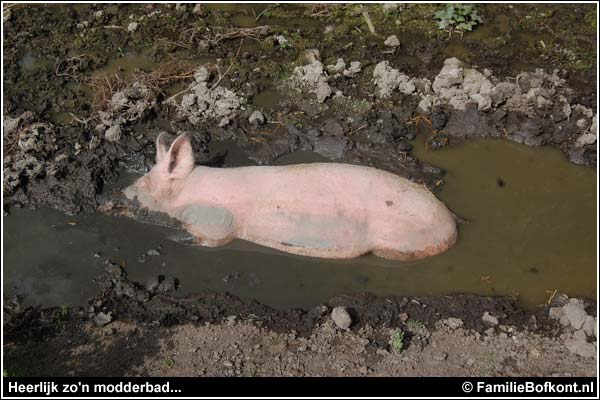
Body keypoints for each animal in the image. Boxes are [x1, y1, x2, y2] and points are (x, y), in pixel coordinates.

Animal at [124, 133, 458, 260]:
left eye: (144, 182)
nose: (123, 192)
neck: (187, 192)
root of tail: (453, 228)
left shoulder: (215, 222)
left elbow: (211, 240)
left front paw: (173, 239)